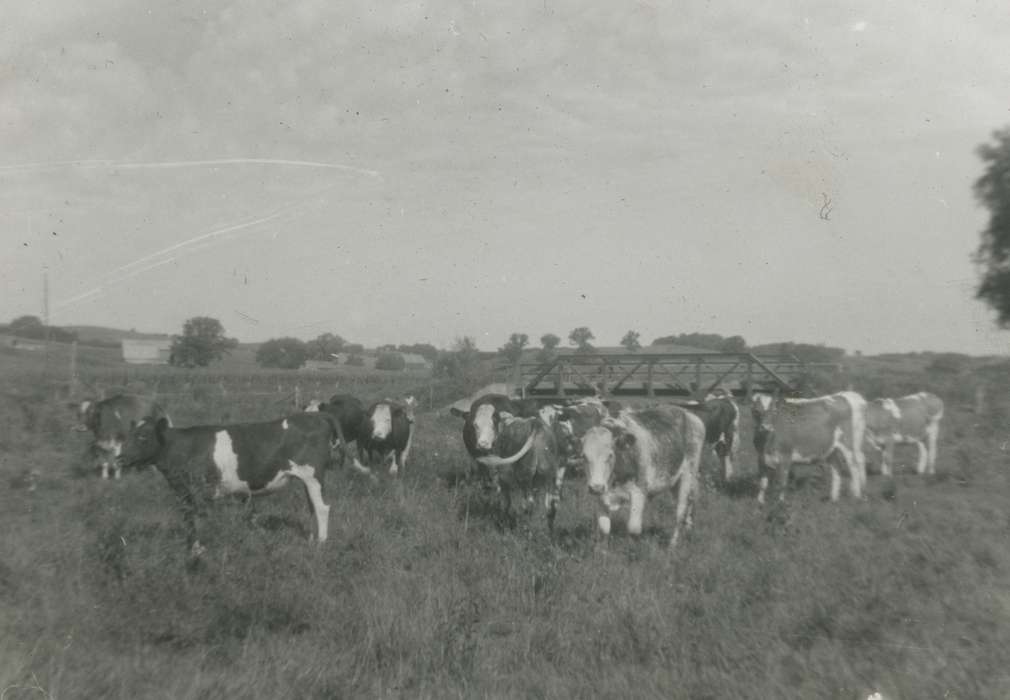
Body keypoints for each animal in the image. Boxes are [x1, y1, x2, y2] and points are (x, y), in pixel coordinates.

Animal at [118, 412, 343, 553]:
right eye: (127, 436)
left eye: (143, 436)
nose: (120, 458)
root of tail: (316, 416)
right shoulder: (183, 493)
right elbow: (188, 519)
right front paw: (192, 549)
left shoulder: (202, 490)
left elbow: (199, 518)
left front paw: (201, 550)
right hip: (308, 479)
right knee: (313, 506)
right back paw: (312, 539)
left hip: (313, 475)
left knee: (322, 508)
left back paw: (321, 544)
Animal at [581, 406, 707, 549]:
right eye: (584, 456)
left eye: (610, 455)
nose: (595, 487)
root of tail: (687, 412)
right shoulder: (602, 496)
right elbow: (604, 528)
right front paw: (601, 551)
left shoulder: (639, 491)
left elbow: (633, 528)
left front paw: (631, 549)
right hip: (674, 481)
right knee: (689, 505)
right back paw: (688, 531)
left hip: (688, 476)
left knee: (680, 513)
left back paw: (672, 545)